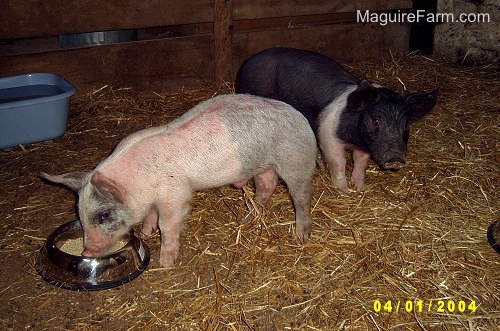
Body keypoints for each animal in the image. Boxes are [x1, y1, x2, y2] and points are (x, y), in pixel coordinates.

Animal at [42, 94, 316, 268]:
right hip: (263, 166)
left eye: (104, 215)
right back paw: (246, 218)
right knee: (267, 185)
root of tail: (299, 117)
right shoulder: (152, 200)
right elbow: (150, 217)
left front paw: (166, 263)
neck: (138, 184)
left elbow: (168, 225)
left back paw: (301, 237)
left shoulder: (175, 195)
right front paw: (146, 233)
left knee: (301, 198)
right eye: (79, 214)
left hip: (296, 162)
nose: (86, 251)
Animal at [235, 46, 438, 192]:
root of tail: (249, 62)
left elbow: (361, 163)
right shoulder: (328, 137)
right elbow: (338, 163)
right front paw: (344, 191)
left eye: (406, 124)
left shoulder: (364, 146)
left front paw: (359, 188)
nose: (396, 159)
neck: (353, 139)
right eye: (377, 119)